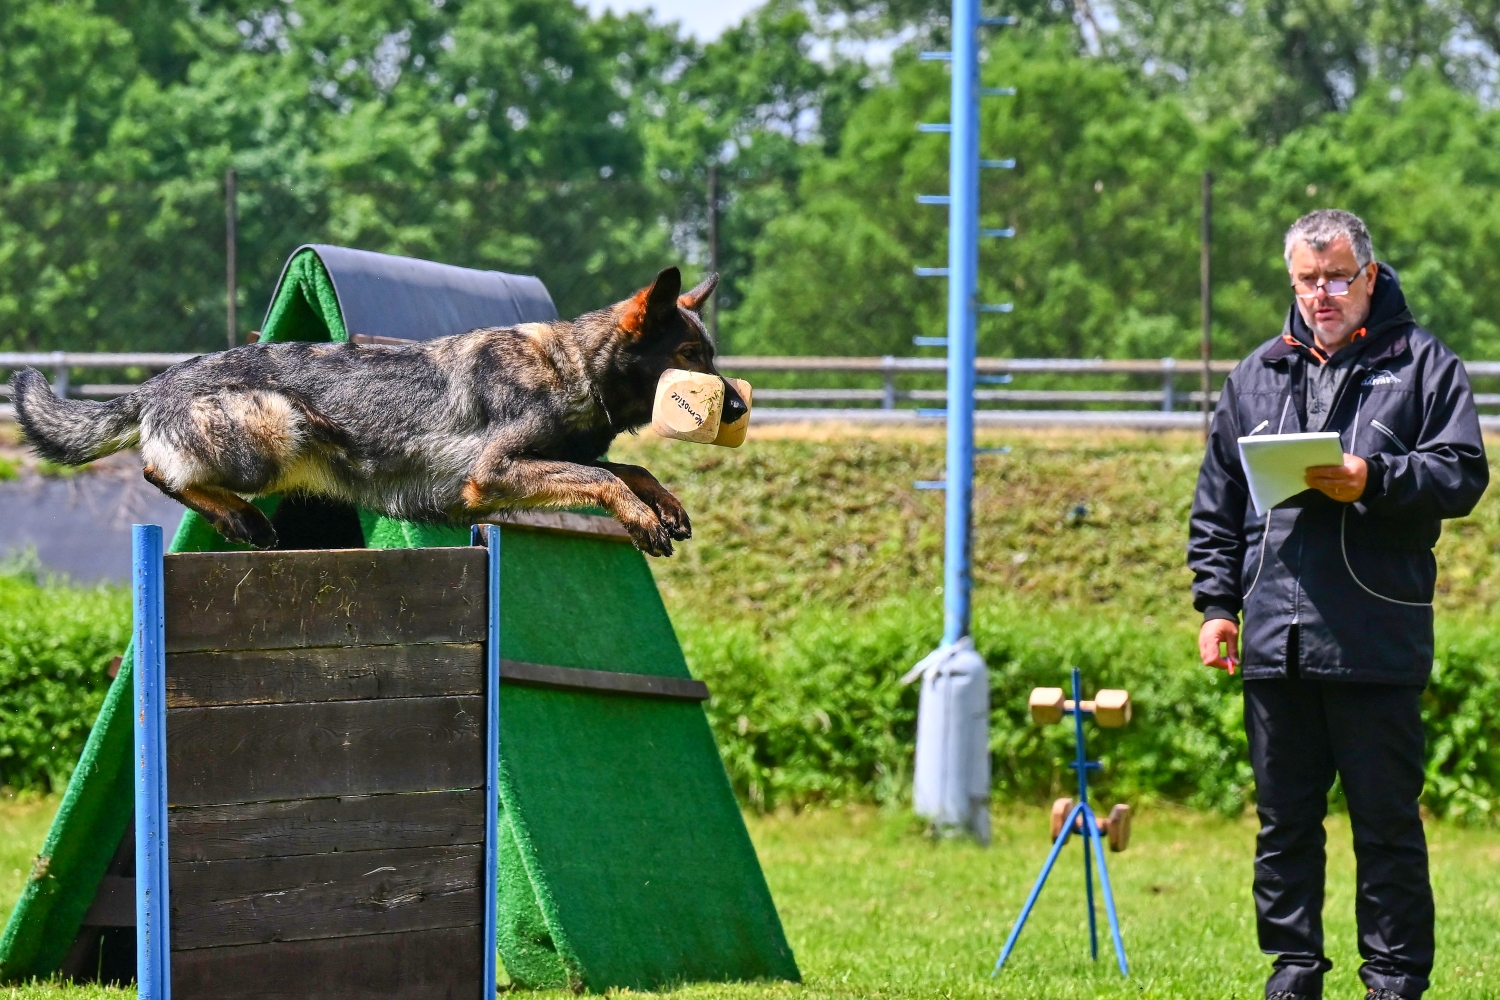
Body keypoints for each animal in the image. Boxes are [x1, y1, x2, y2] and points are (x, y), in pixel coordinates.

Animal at [5, 265, 744, 554]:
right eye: (689, 355)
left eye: (710, 353)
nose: (738, 406)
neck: (571, 366)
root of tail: (160, 381)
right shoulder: (496, 472)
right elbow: (600, 476)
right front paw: (640, 518)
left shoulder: (545, 460)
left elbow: (626, 469)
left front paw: (663, 504)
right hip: (275, 429)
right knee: (158, 470)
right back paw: (239, 517)